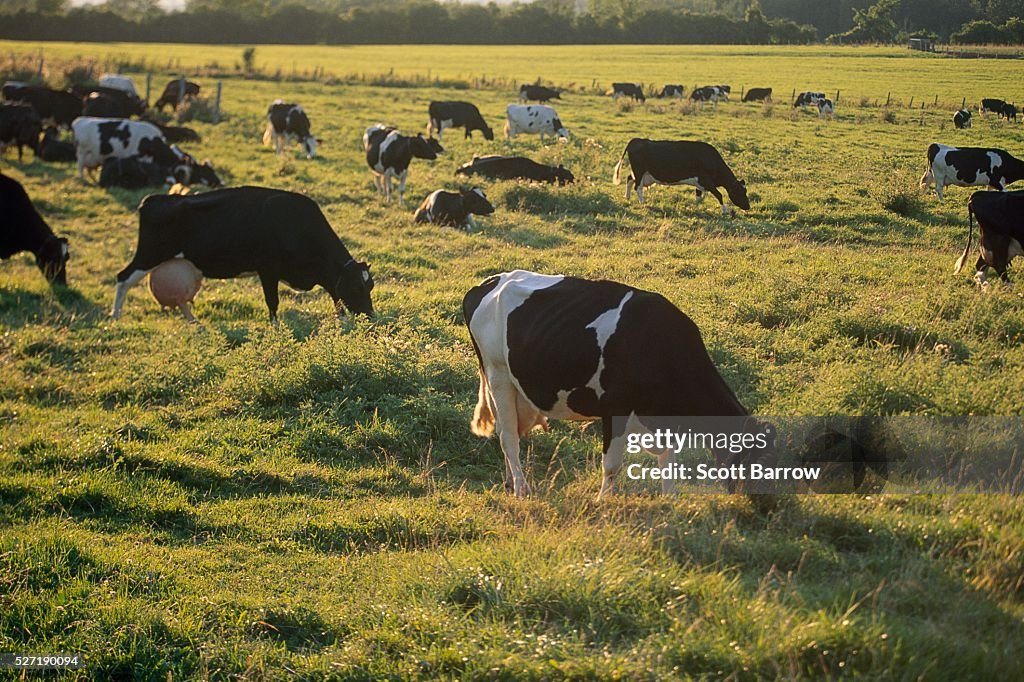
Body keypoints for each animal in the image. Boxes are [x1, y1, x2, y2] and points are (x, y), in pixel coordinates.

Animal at [110, 186, 374, 321]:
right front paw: (275, 329)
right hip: (148, 254)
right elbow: (273, 302)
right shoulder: (268, 268)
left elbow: (335, 296)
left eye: (370, 286)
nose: (370, 315)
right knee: (123, 278)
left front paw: (341, 321)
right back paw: (115, 317)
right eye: (356, 287)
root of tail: (153, 200)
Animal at [464, 268, 761, 497]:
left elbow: (667, 460)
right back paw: (521, 488)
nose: (765, 512)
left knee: (506, 429)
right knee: (508, 436)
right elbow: (612, 464)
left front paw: (671, 500)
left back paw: (510, 481)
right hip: (498, 373)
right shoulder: (615, 407)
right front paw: (603, 501)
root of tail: (489, 282)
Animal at [610, 137, 749, 214]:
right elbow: (719, 195)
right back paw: (642, 202)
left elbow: (698, 196)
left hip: (641, 173)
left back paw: (627, 197)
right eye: (740, 192)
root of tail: (636, 140)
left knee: (629, 179)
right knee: (637, 187)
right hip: (639, 171)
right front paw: (724, 211)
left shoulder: (699, 183)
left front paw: (696, 208)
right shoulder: (706, 181)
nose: (748, 206)